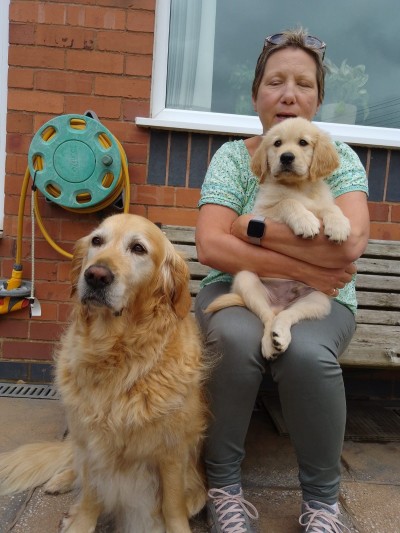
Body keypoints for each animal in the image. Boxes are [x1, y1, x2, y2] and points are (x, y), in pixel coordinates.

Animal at [0, 213, 206, 532]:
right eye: (97, 240)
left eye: (138, 248)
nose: (96, 275)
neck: (114, 352)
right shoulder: (92, 441)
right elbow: (92, 493)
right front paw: (80, 522)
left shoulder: (173, 449)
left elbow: (173, 506)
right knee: (74, 465)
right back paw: (60, 481)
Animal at [206, 116, 350, 358]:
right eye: (277, 144)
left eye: (303, 143)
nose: (286, 157)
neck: (298, 187)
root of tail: (280, 303)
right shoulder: (264, 211)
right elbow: (287, 202)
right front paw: (305, 221)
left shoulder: (321, 203)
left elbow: (331, 208)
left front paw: (339, 226)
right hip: (246, 279)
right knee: (267, 316)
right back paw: (269, 343)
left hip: (318, 298)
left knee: (286, 315)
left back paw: (280, 335)